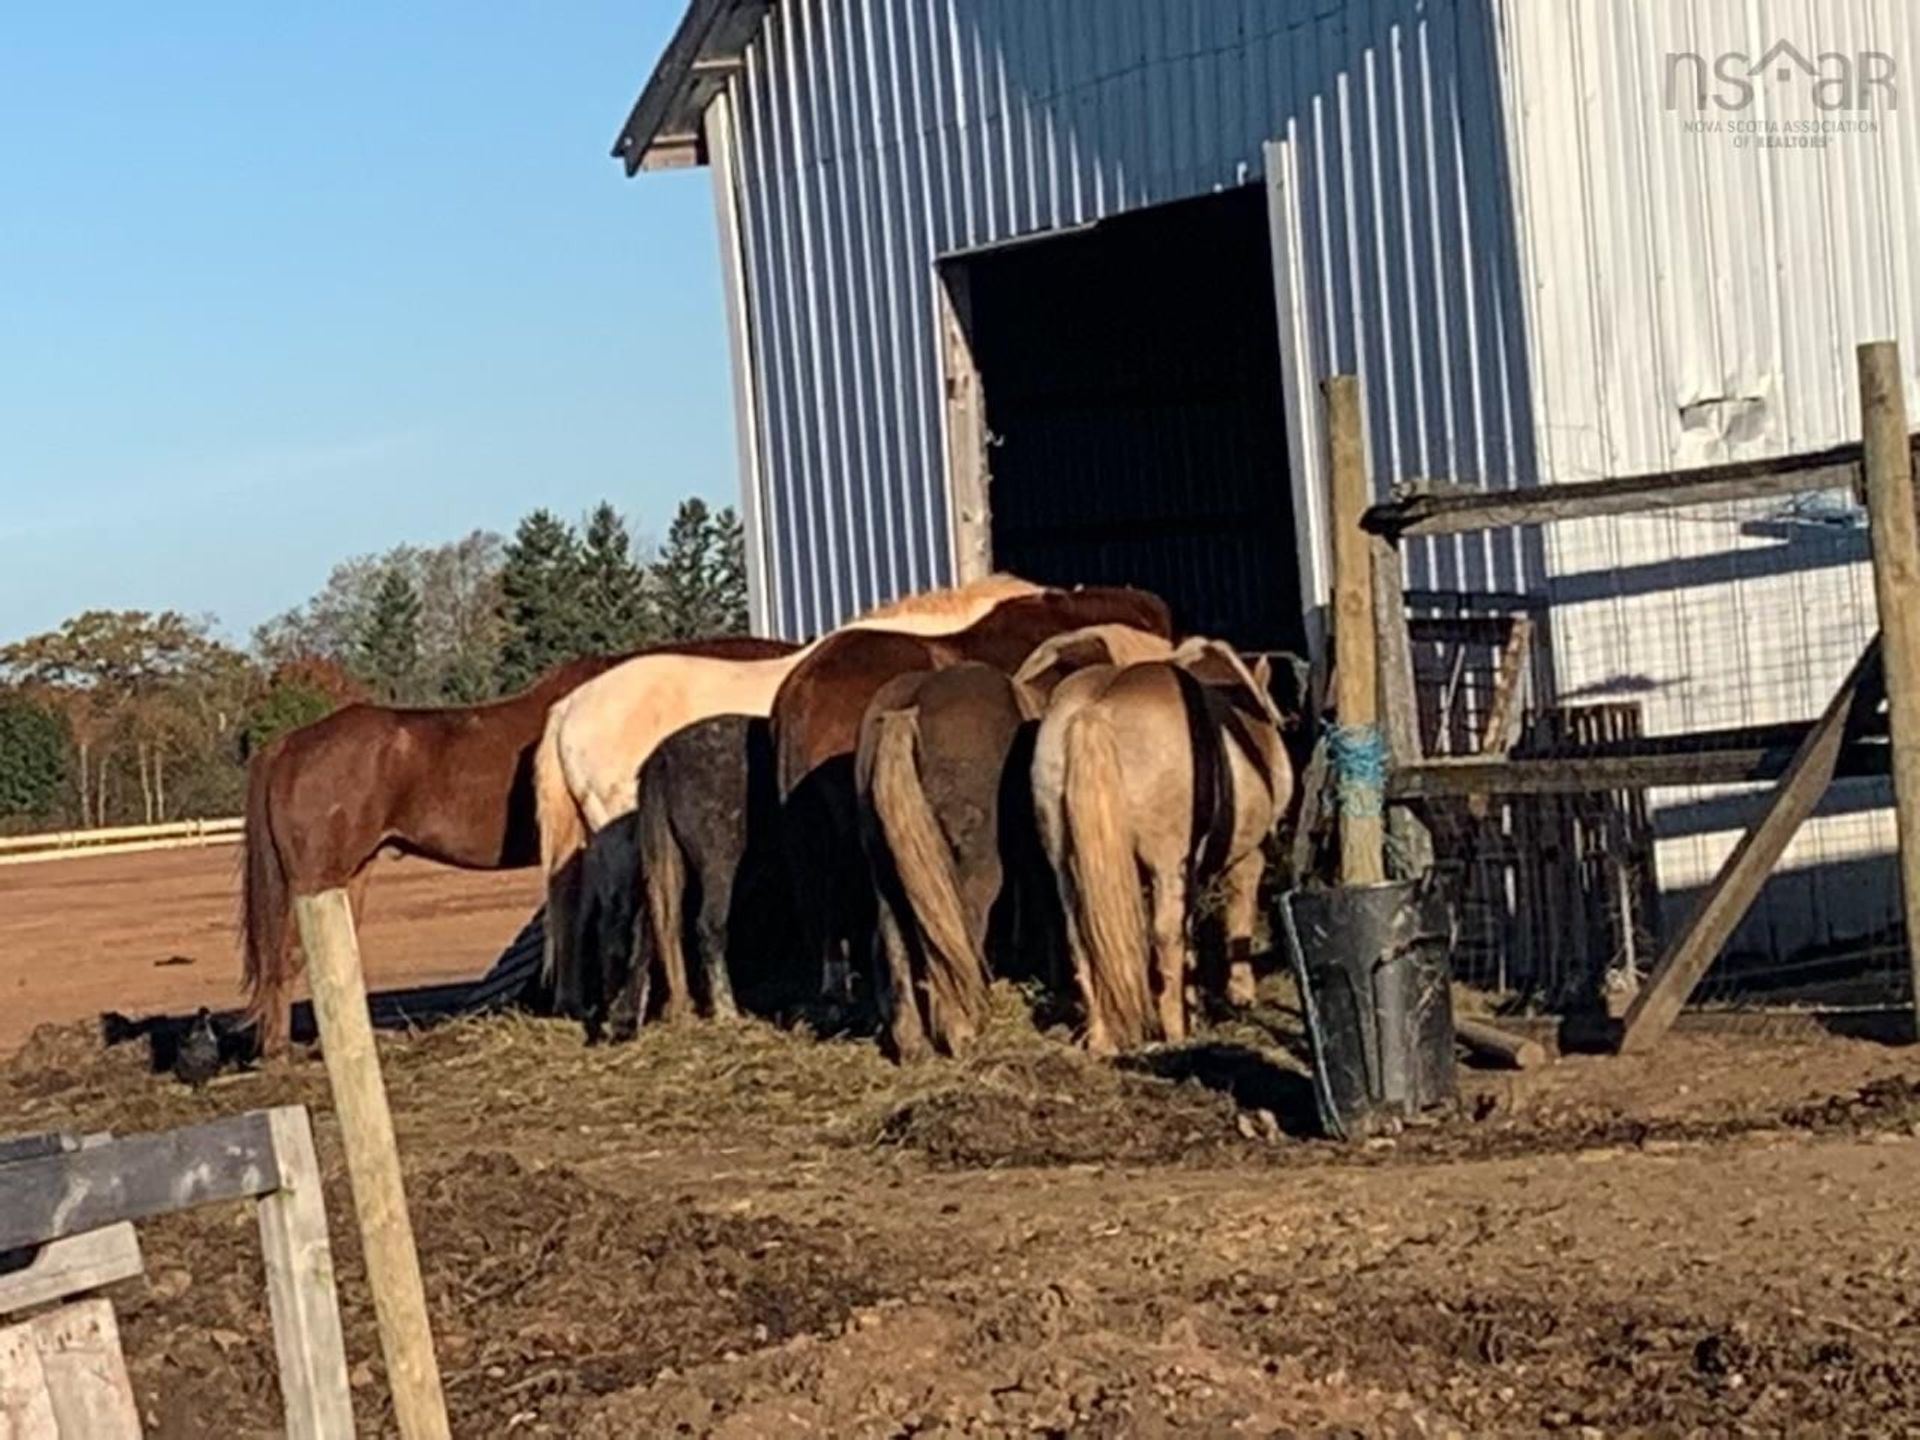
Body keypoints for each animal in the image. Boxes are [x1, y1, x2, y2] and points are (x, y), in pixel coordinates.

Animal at [240, 637, 794, 1052]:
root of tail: (287, 744)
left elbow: (572, 917)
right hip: (316, 879)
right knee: (289, 956)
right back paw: (282, 1050)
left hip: (350, 876)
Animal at [1029, 641, 1297, 1059]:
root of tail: (1094, 711)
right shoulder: (1245, 857)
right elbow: (1238, 915)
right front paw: (1239, 994)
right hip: (1167, 865)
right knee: (1164, 935)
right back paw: (1176, 1032)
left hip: (1067, 869)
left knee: (1081, 939)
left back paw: (1103, 1040)